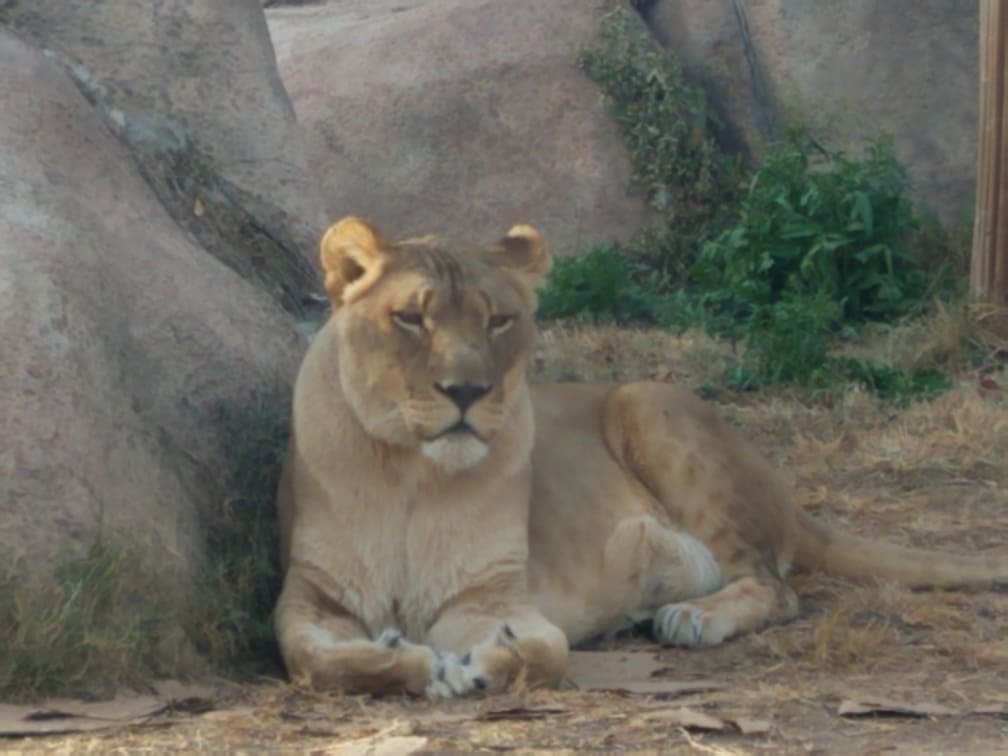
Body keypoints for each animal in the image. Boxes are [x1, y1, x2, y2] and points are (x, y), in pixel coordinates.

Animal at [275, 216, 1008, 698]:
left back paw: (693, 617)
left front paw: (485, 665)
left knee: (777, 588)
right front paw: (408, 661)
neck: (412, 478)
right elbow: (317, 661)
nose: (466, 391)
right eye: (410, 318)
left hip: (645, 402)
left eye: (498, 321)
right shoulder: (311, 594)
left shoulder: (490, 593)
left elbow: (546, 650)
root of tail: (784, 493)